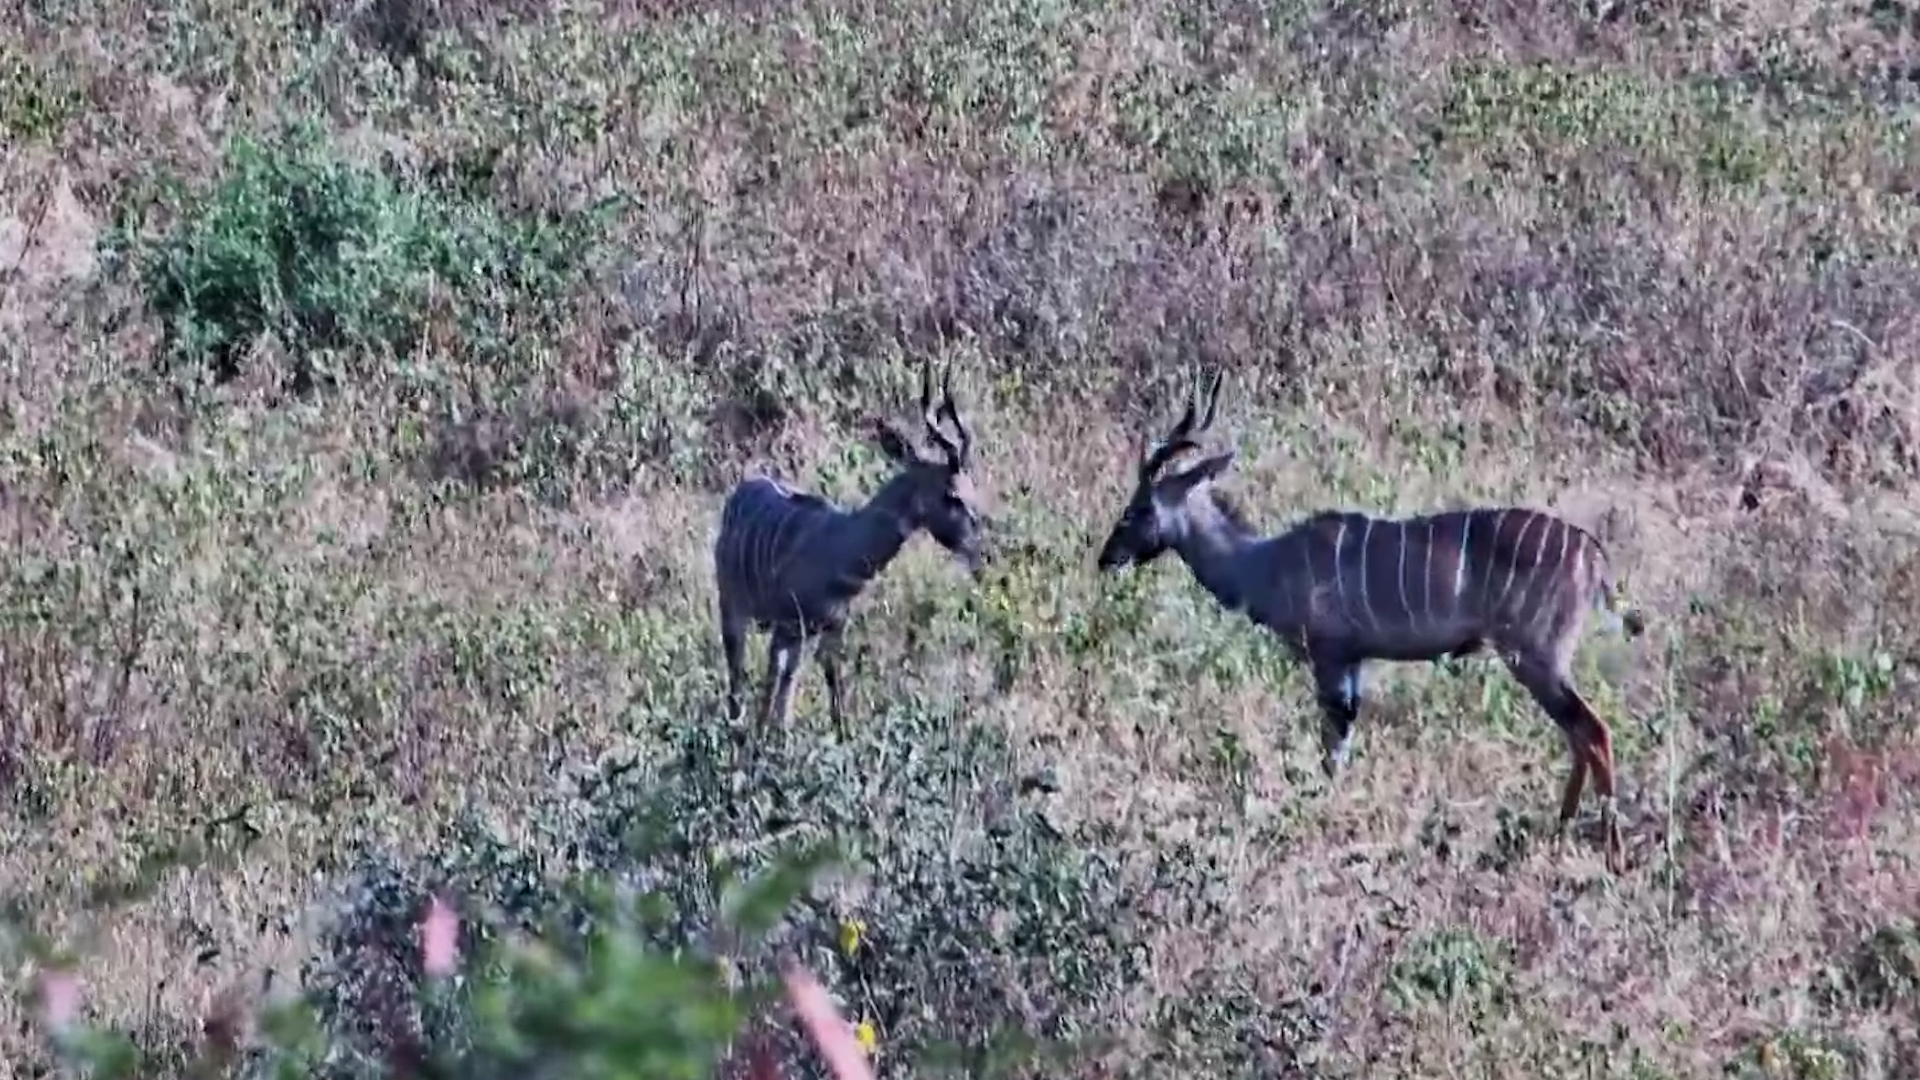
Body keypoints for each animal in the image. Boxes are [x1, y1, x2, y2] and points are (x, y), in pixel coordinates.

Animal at [714, 359, 988, 731]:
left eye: (971, 488)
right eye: (952, 495)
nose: (977, 549)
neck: (842, 548)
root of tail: (742, 490)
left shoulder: (830, 628)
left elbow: (831, 688)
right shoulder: (788, 623)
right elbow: (772, 683)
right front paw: (759, 737)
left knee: (784, 680)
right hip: (732, 607)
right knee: (739, 674)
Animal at [1093, 372, 1647, 873]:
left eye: (1137, 508)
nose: (1106, 558)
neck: (1266, 562)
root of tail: (1594, 554)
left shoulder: (1330, 657)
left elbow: (1332, 746)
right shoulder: (1354, 662)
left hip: (1534, 657)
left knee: (1593, 730)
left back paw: (1612, 853)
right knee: (1579, 734)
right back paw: (1561, 830)